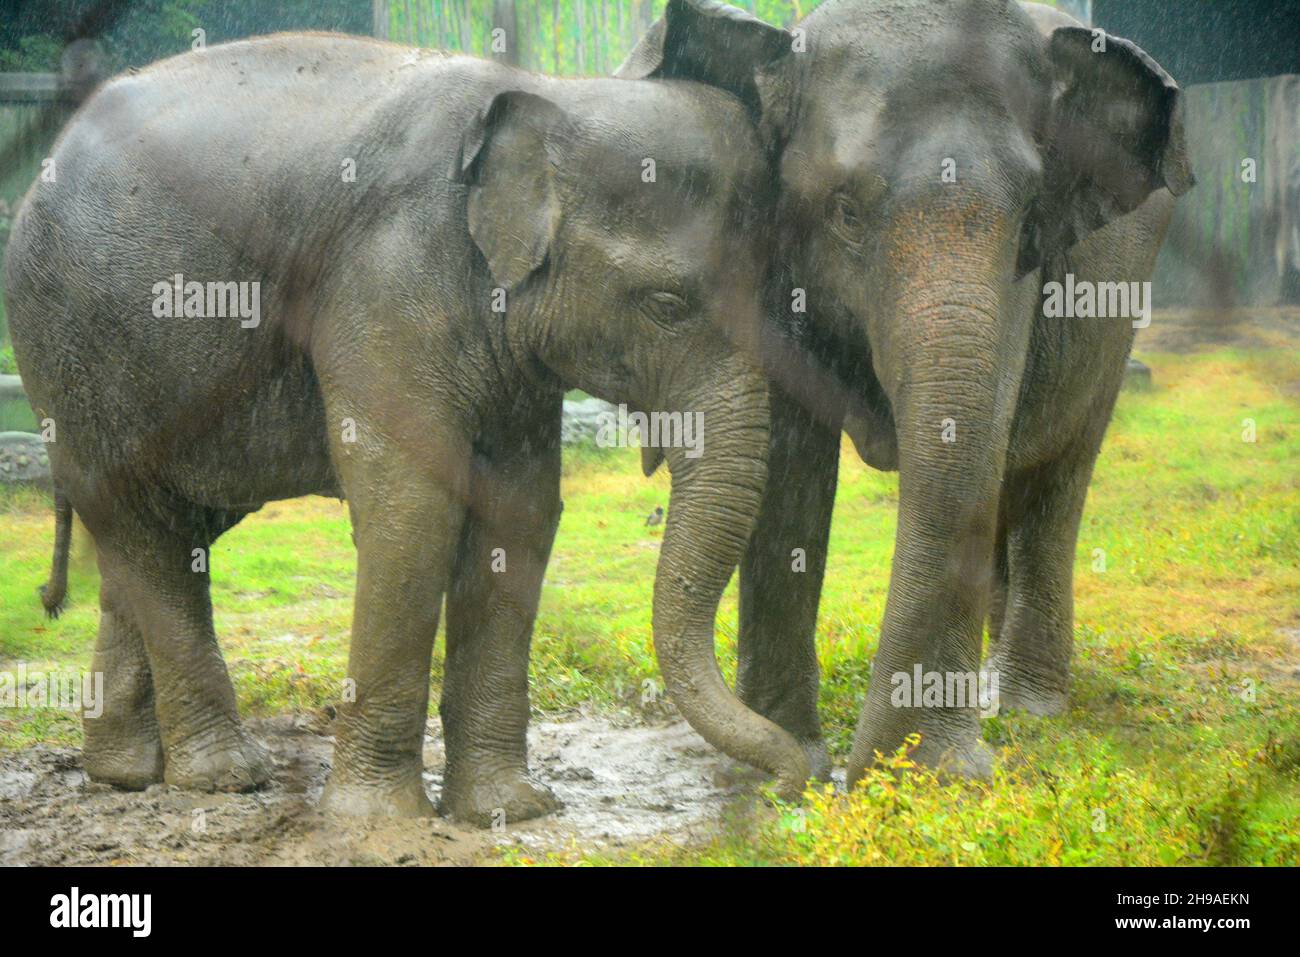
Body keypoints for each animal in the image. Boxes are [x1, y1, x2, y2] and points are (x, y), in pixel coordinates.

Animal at [2, 31, 811, 821]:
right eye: (667, 304)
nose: (792, 785)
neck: (557, 93)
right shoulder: (390, 275)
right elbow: (415, 511)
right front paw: (377, 820)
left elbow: (519, 511)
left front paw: (509, 811)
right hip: (66, 346)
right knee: (145, 532)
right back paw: (225, 778)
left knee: (162, 532)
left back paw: (126, 774)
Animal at [613, 0, 1190, 785]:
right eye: (846, 213)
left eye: (1030, 215)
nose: (859, 772)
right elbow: (788, 454)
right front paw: (795, 758)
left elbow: (982, 434)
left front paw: (933, 777)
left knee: (1057, 472)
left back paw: (1026, 706)